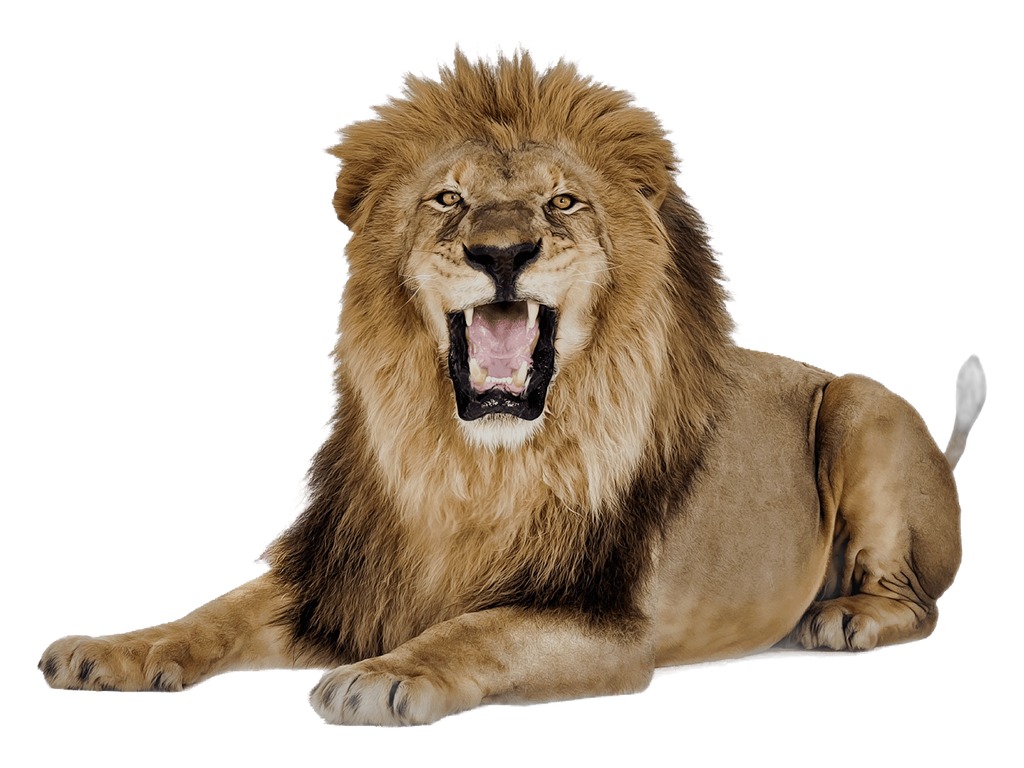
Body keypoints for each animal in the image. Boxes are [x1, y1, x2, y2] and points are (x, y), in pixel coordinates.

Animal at [39, 52, 986, 725]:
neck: (473, 465)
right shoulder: (344, 577)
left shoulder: (607, 624)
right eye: (447, 200)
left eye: (562, 202)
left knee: (921, 603)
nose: (500, 252)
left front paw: (385, 673)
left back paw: (843, 618)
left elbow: (481, 625)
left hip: (862, 403)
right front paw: (108, 650)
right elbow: (214, 611)